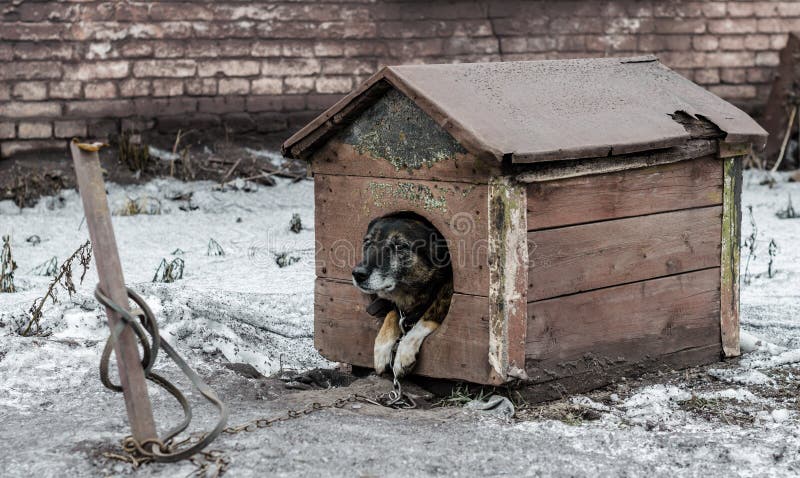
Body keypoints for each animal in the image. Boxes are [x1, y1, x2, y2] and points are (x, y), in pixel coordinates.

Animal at [354, 215, 454, 380]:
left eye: (399, 246)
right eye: (367, 242)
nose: (358, 274)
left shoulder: (448, 292)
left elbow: (430, 314)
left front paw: (404, 351)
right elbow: (392, 314)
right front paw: (381, 348)